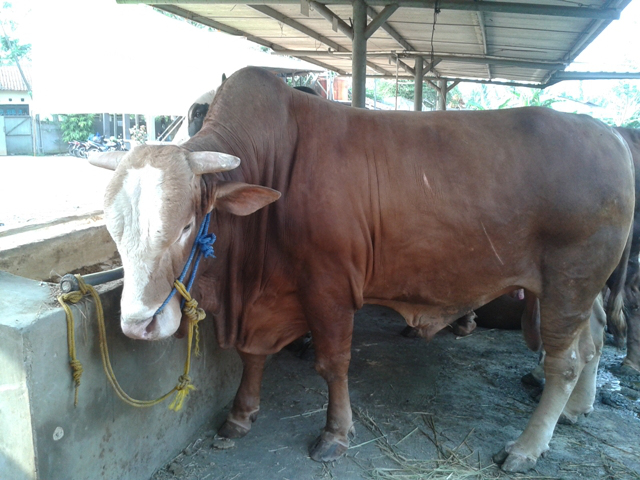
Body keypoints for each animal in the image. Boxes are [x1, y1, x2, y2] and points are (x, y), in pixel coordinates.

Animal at [91, 66, 636, 472]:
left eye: (186, 224)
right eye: (112, 229)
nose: (137, 324)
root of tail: (608, 133)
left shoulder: (328, 287)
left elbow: (333, 364)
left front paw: (335, 434)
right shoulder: (267, 299)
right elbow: (253, 356)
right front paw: (241, 415)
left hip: (569, 283)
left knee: (564, 363)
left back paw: (527, 447)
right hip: (576, 290)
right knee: (592, 342)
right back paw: (577, 411)